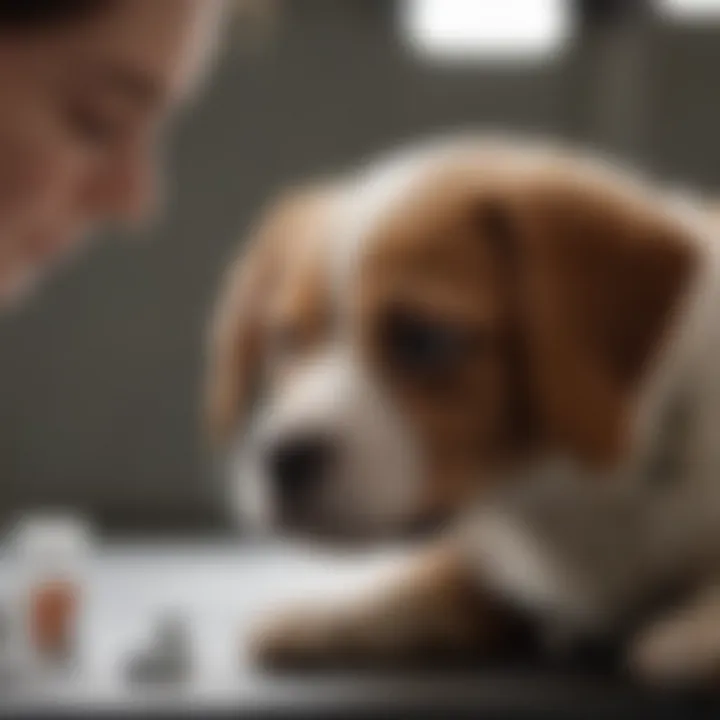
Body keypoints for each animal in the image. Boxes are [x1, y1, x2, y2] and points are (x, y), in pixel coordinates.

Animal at [204, 136, 720, 688]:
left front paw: (697, 634)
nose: (282, 458)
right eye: (286, 340)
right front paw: (331, 615)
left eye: (423, 339)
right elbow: (431, 578)